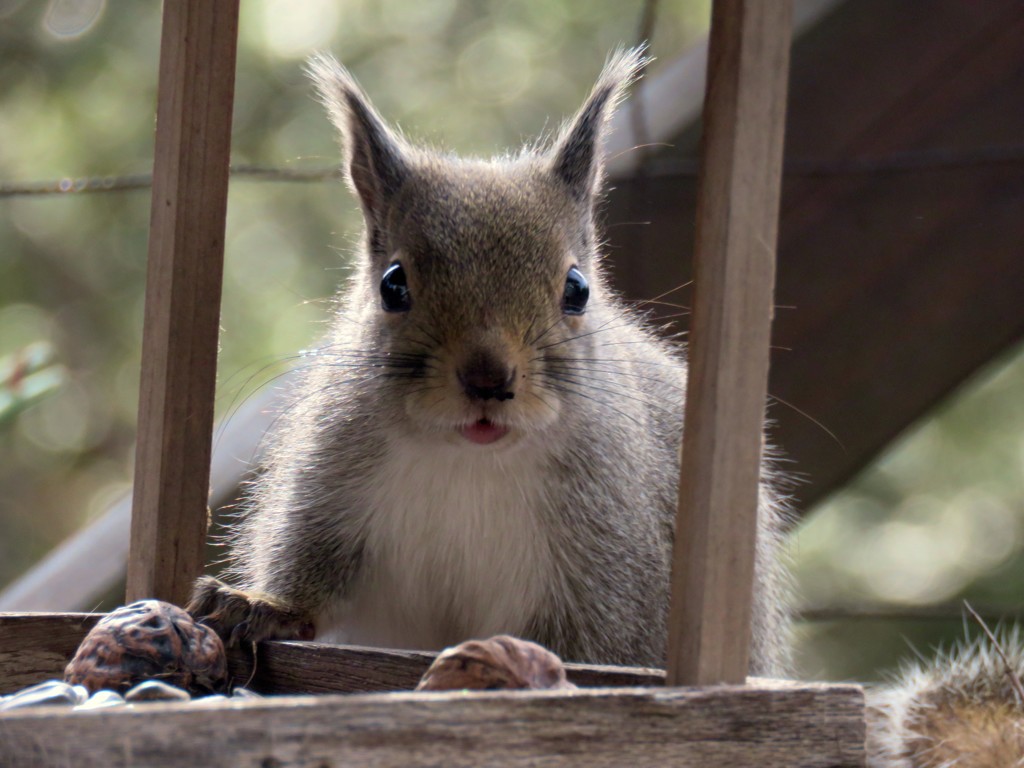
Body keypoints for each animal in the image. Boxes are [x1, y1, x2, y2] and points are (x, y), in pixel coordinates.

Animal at [186, 48, 790, 675]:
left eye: (578, 289)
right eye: (392, 284)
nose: (488, 379)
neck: (470, 460)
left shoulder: (610, 564)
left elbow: (591, 649)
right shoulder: (331, 484)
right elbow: (311, 578)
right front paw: (258, 605)